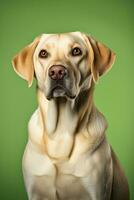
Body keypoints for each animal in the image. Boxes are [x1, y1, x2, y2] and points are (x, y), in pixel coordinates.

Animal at [12, 32, 129, 200]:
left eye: (76, 51)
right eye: (43, 53)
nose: (57, 72)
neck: (60, 132)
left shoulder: (97, 192)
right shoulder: (36, 191)